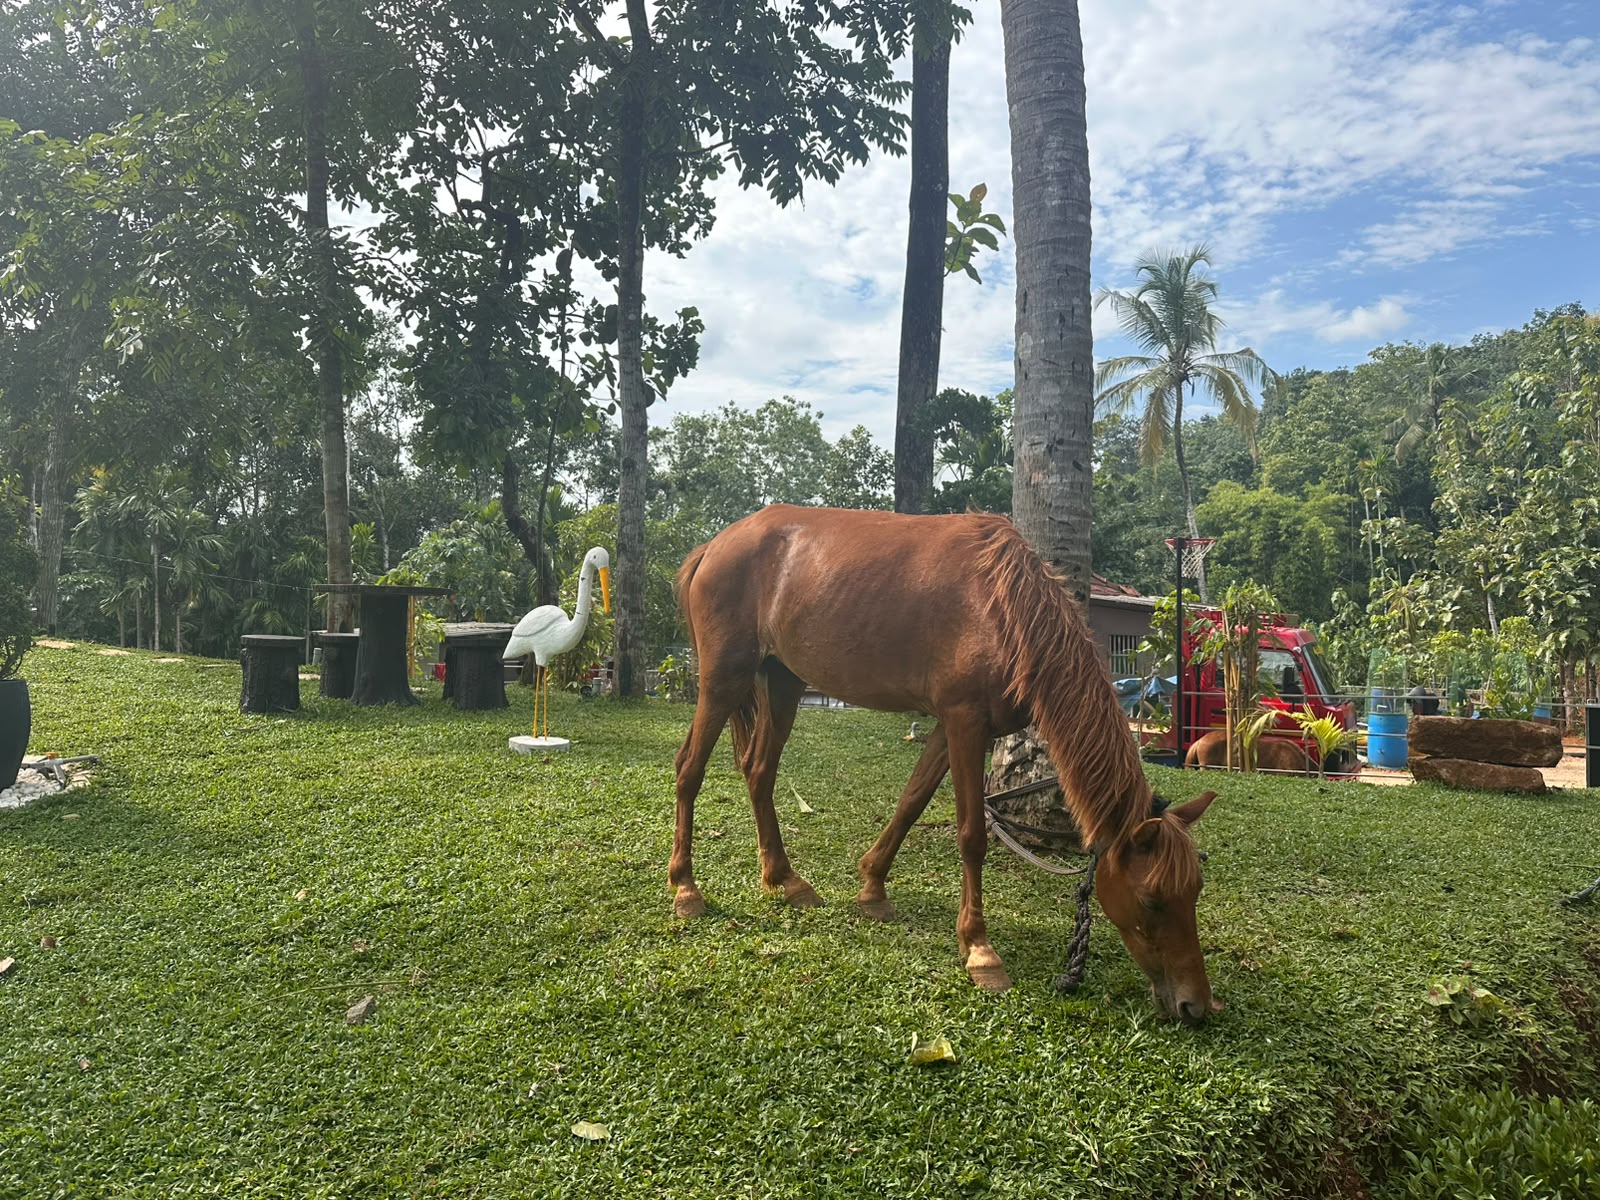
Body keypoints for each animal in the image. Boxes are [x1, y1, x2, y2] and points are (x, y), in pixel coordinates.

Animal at [671, 505, 1220, 1023]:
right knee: (689, 771)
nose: (1195, 1006)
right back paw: (686, 888)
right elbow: (972, 835)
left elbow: (911, 802)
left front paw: (873, 888)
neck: (1002, 607)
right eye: (1152, 899)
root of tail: (715, 545)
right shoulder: (964, 723)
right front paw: (979, 949)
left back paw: (785, 879)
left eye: (1195, 892)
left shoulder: (951, 727)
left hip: (783, 681)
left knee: (760, 772)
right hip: (723, 680)